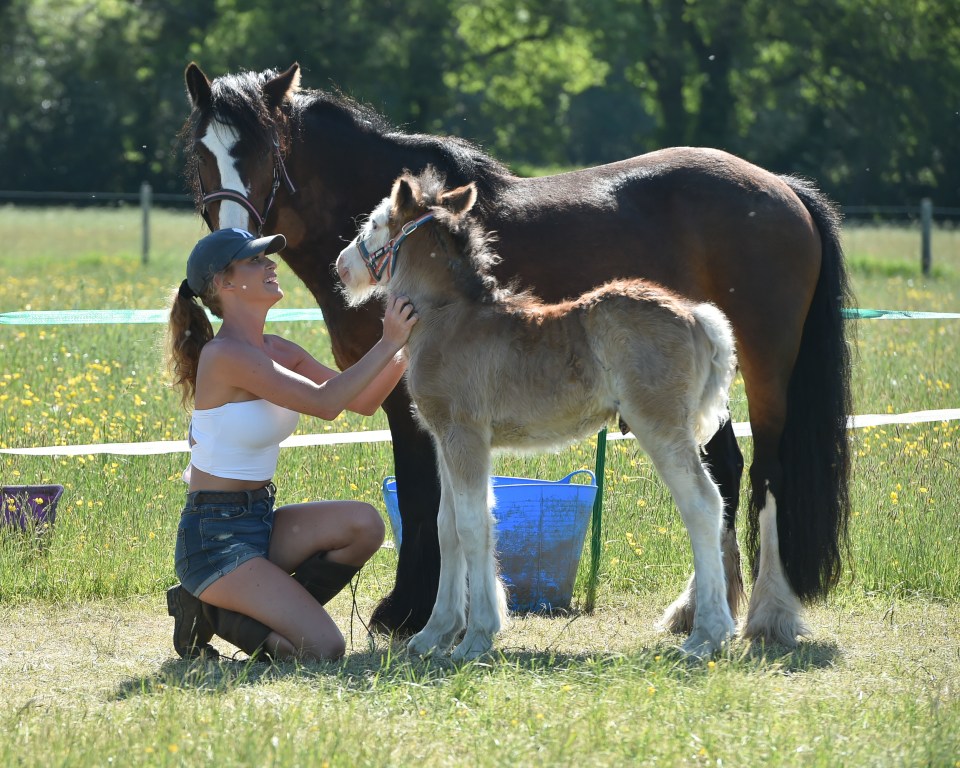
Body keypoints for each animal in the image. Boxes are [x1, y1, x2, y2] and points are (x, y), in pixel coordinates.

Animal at [182, 61, 856, 648]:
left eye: (263, 151)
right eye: (199, 153)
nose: (236, 241)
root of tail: (785, 188)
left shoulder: (428, 418)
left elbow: (442, 511)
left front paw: (421, 618)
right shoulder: (439, 423)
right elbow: (453, 518)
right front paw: (440, 624)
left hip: (762, 376)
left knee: (759, 479)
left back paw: (760, 617)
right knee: (725, 476)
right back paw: (696, 613)